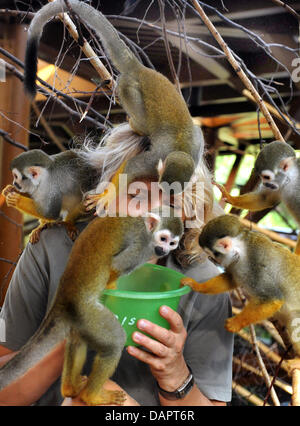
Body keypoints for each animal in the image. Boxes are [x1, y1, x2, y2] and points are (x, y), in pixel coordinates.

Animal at [0, 208, 183, 404]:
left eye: (172, 243)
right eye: (163, 239)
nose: (164, 250)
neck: (147, 228)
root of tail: (64, 296)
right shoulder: (142, 247)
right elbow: (115, 266)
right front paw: (113, 290)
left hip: (81, 317)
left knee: (77, 340)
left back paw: (70, 389)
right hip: (89, 313)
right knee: (114, 342)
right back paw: (92, 397)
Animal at [24, 0, 204, 211]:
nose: (165, 198)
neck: (182, 150)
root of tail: (140, 69)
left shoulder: (197, 149)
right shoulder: (155, 159)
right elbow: (132, 166)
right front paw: (109, 195)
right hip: (127, 87)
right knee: (140, 117)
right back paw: (137, 125)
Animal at [180, 216, 300, 360]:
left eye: (214, 254)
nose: (213, 259)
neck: (243, 251)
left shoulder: (256, 263)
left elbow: (273, 299)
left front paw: (236, 323)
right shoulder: (235, 263)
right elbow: (231, 279)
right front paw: (197, 286)